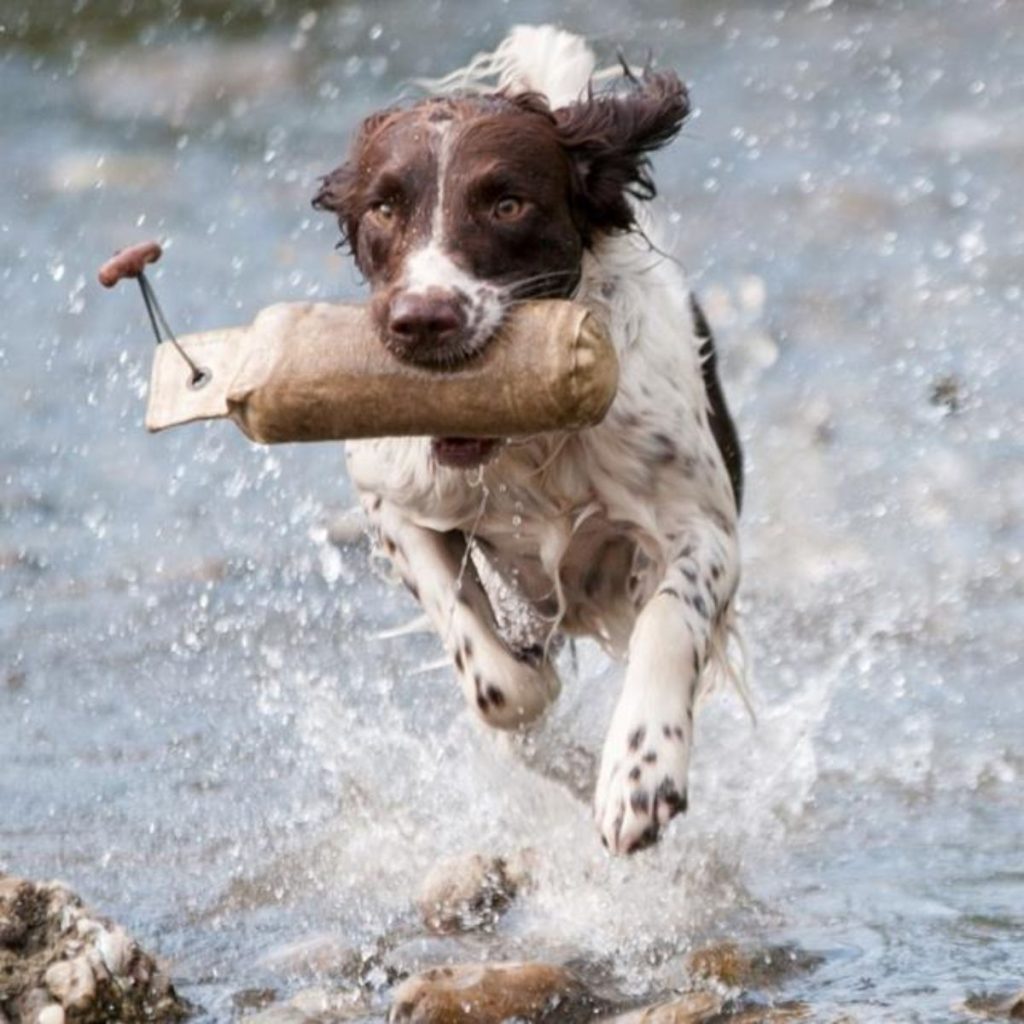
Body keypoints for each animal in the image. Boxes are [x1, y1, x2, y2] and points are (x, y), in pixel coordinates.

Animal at [311, 28, 745, 851]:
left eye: (507, 203)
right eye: (382, 208)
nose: (422, 320)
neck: (528, 447)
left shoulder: (702, 527)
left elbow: (671, 619)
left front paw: (639, 773)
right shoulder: (388, 494)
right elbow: (495, 679)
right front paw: (549, 727)